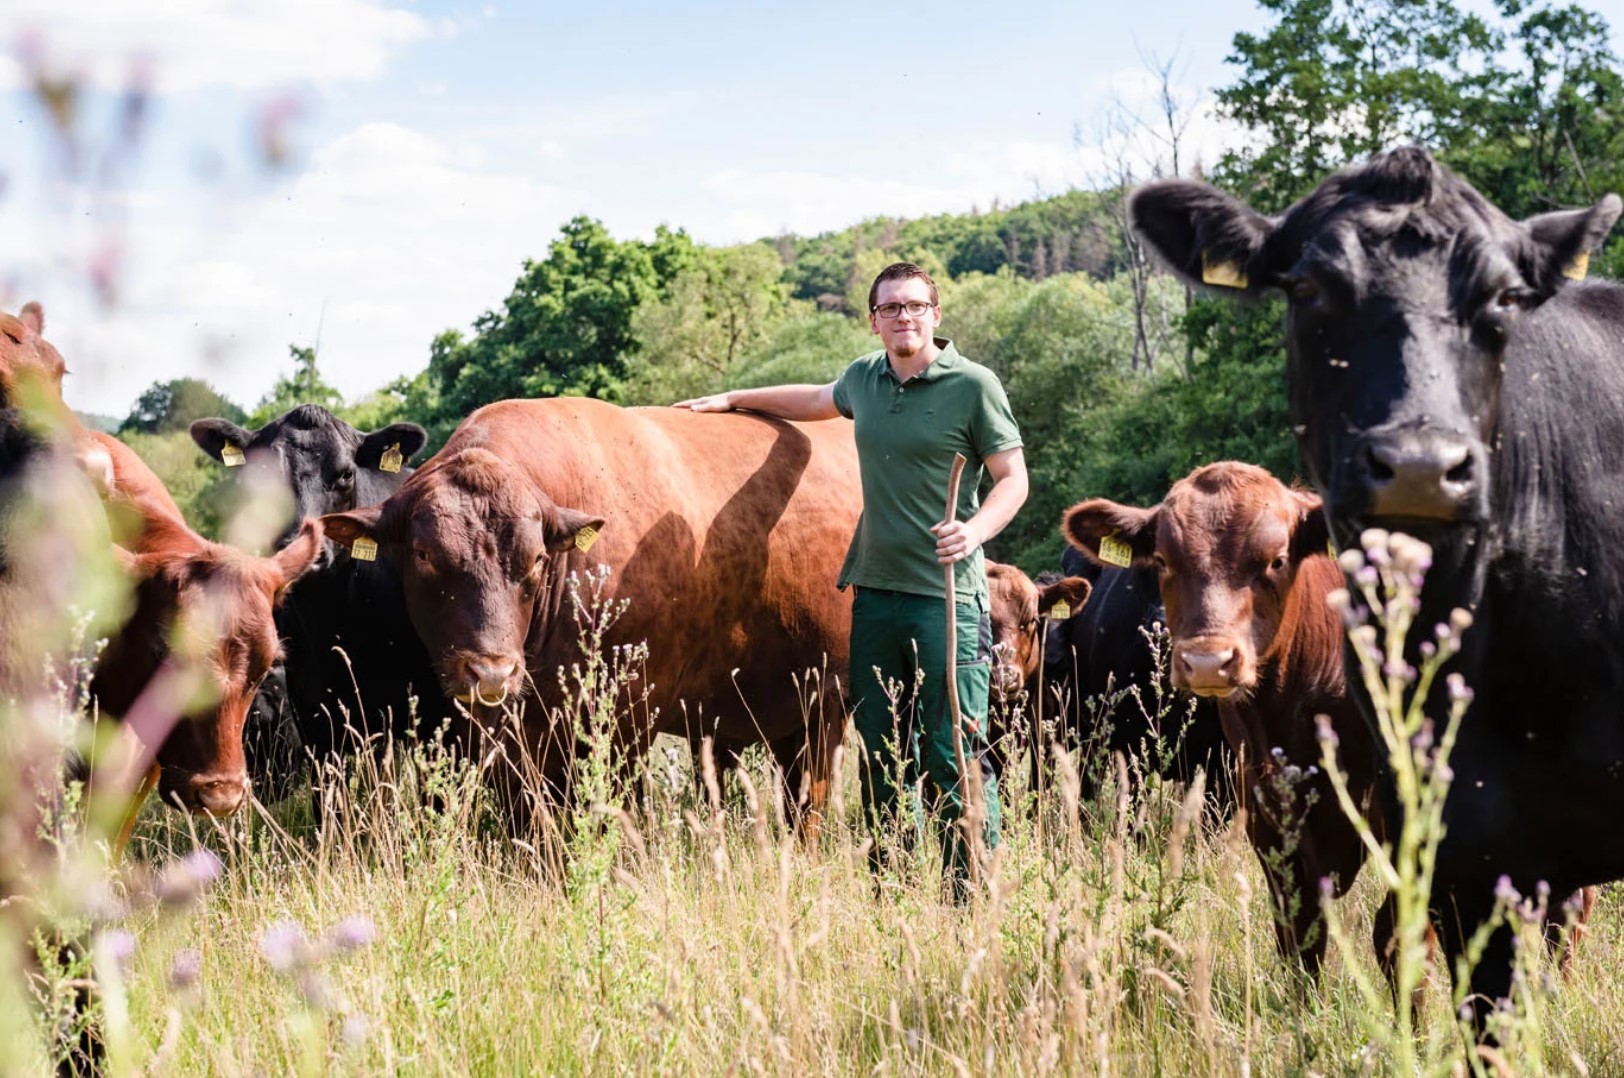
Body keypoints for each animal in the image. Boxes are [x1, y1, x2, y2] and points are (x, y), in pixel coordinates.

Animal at [321, 399, 870, 827]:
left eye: (536, 558)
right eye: (423, 554)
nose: (492, 671)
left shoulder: (627, 718)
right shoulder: (501, 730)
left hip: (826, 706)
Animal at [1130, 149, 1624, 1019]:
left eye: (1274, 559)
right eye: (1162, 561)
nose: (1207, 661)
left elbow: (1397, 944)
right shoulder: (1283, 824)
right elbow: (1303, 942)